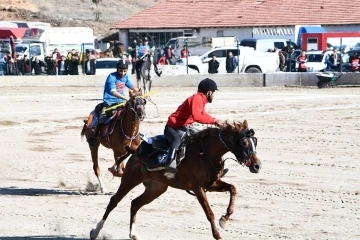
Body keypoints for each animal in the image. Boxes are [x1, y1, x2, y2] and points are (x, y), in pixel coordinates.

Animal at [90, 120, 262, 240]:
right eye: (244, 142)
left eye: (255, 141)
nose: (257, 165)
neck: (205, 153)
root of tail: (135, 151)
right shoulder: (197, 188)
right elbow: (209, 213)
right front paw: (218, 234)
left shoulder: (212, 184)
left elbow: (233, 188)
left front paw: (225, 219)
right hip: (130, 180)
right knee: (114, 201)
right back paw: (96, 230)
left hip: (156, 188)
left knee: (135, 203)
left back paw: (134, 234)